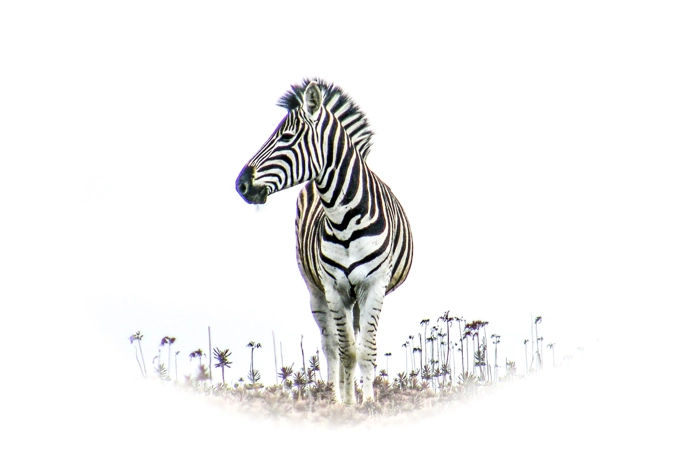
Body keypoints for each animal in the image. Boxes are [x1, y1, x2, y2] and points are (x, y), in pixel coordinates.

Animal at [235, 79, 413, 404]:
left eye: (287, 136)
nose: (240, 184)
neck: (344, 219)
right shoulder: (333, 288)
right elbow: (346, 352)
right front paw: (348, 405)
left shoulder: (374, 285)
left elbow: (366, 351)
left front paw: (369, 403)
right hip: (315, 289)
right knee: (331, 345)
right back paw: (334, 397)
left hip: (358, 297)